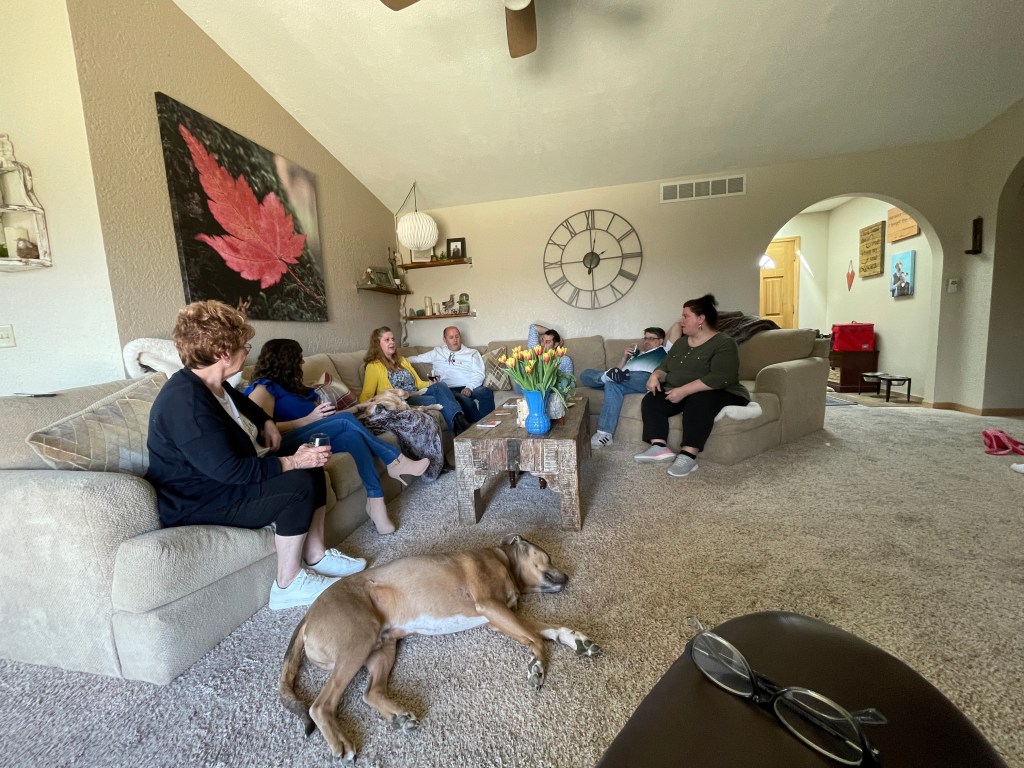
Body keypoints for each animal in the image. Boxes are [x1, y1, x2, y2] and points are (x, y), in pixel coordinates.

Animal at [279, 534, 601, 760]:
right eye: (547, 556)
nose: (568, 577)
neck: (505, 562)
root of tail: (309, 614)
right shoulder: (492, 606)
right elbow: (535, 639)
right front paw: (538, 665)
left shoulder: (499, 618)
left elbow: (543, 629)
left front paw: (575, 638)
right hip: (357, 642)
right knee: (320, 705)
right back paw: (341, 742)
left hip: (382, 648)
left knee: (371, 692)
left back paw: (399, 717)